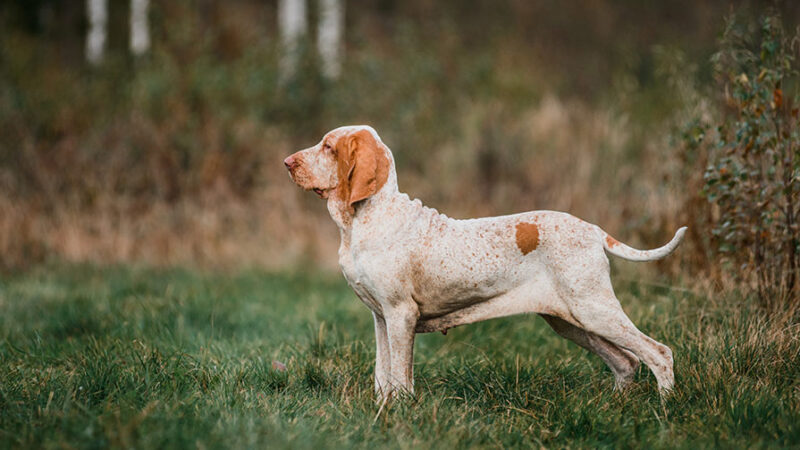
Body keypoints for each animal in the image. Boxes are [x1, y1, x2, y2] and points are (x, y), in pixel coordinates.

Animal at [284, 124, 684, 398]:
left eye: (328, 146)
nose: (287, 162)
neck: (364, 221)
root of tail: (595, 231)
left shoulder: (400, 314)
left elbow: (400, 376)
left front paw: (399, 410)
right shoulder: (381, 317)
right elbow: (383, 374)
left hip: (594, 310)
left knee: (659, 353)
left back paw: (664, 408)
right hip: (571, 321)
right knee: (626, 362)